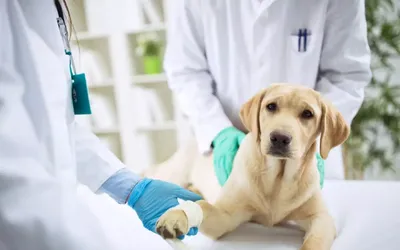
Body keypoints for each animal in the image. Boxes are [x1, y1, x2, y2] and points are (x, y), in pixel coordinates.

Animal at [148, 84, 348, 250]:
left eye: (308, 114)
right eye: (271, 106)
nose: (279, 138)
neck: (278, 178)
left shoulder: (321, 218)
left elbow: (315, 242)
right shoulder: (225, 216)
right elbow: (202, 206)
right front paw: (177, 215)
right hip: (173, 173)